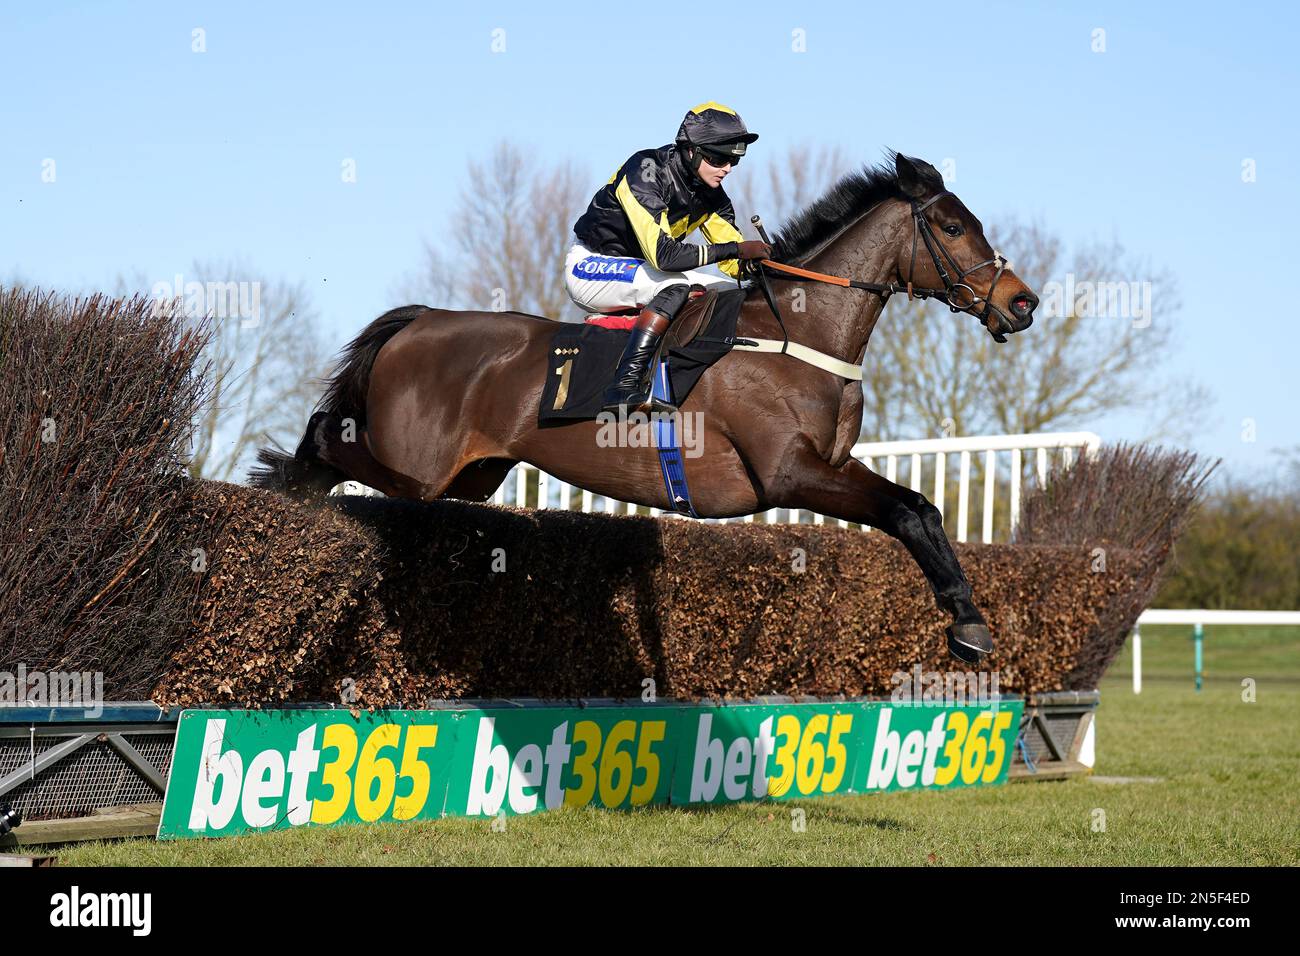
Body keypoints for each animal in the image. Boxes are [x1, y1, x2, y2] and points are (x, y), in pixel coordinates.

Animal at [253, 157, 1040, 665]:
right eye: (952, 226)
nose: (1023, 302)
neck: (798, 332)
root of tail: (420, 321)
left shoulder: (829, 467)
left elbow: (918, 507)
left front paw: (968, 621)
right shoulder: (790, 472)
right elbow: (911, 511)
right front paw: (969, 627)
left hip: (469, 477)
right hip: (415, 464)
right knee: (328, 440)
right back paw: (282, 482)